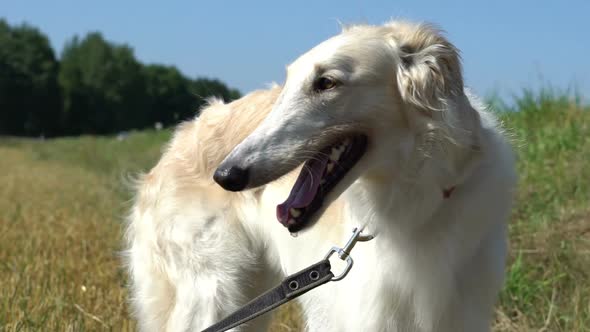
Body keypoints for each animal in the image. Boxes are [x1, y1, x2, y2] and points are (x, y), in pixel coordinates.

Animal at [126, 20, 520, 332]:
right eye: (287, 85)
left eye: (326, 82)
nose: (225, 176)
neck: (416, 206)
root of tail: (177, 142)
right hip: (215, 293)